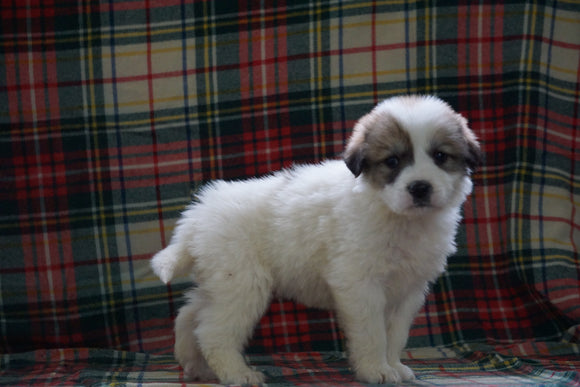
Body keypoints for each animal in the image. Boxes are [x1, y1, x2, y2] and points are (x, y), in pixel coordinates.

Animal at [150, 94, 480, 384]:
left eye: (440, 156)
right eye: (392, 161)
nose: (420, 187)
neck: (396, 216)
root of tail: (197, 214)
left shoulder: (408, 289)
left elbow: (395, 334)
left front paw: (394, 366)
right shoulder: (359, 284)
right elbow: (373, 333)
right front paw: (376, 370)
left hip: (219, 282)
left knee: (190, 316)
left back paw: (197, 367)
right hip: (242, 283)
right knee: (213, 332)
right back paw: (237, 374)